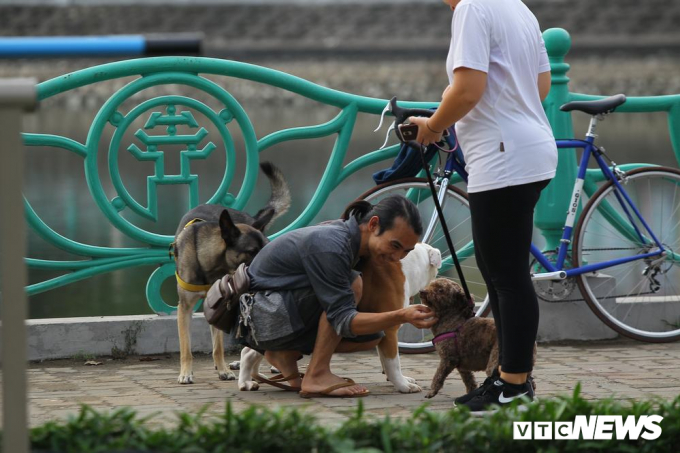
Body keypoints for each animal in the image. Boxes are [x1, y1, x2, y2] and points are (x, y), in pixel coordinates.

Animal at [173, 161, 290, 384]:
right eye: (252, 251)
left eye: (265, 249)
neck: (208, 264)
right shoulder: (184, 308)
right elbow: (185, 347)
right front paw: (185, 372)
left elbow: (218, 346)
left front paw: (223, 369)